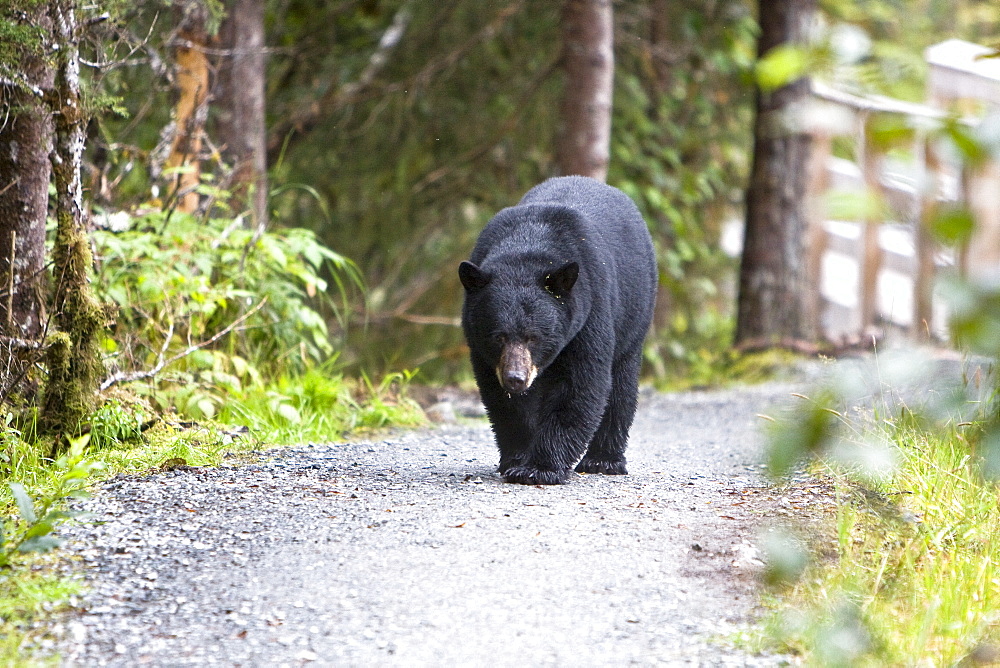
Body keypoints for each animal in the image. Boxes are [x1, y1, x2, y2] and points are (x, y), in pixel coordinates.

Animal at [458, 175, 656, 482]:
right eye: (498, 336)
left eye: (533, 337)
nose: (516, 378)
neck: (528, 245)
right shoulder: (480, 345)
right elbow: (502, 398)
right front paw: (517, 458)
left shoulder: (589, 310)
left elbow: (578, 386)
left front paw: (540, 468)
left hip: (635, 311)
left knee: (621, 385)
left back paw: (604, 460)